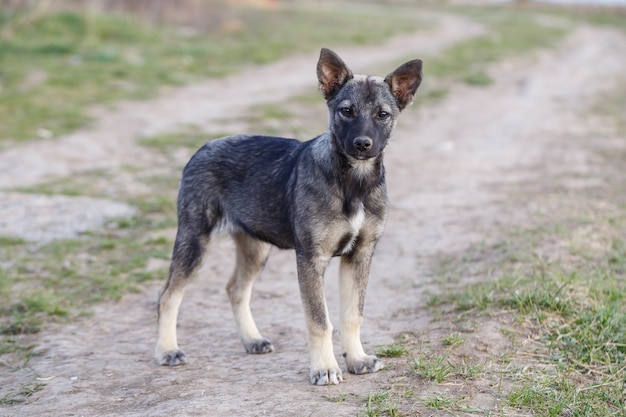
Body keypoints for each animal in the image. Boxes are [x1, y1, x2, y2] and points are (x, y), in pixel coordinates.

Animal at [154, 48, 422, 384]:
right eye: (346, 111)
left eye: (383, 115)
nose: (362, 144)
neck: (353, 184)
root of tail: (204, 147)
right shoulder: (311, 258)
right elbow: (320, 321)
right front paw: (325, 368)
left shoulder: (359, 255)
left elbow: (352, 315)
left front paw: (357, 359)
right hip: (195, 239)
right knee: (168, 295)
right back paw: (167, 350)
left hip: (255, 247)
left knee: (235, 289)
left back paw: (252, 339)